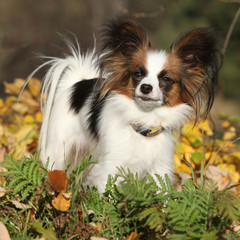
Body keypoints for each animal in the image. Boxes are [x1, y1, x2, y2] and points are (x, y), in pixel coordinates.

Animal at [31, 16, 221, 193]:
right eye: (138, 73)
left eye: (166, 79)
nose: (145, 87)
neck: (145, 122)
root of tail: (77, 83)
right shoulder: (110, 166)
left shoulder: (160, 169)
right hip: (58, 151)